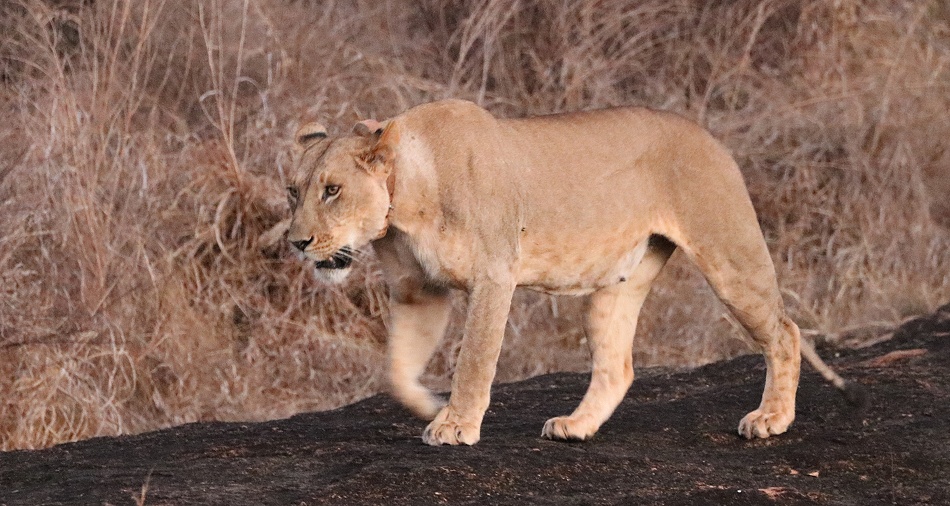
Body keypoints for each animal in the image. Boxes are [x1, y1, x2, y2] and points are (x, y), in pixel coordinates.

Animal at [286, 99, 861, 446]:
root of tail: (709, 136)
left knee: (784, 330)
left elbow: (474, 360)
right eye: (294, 191)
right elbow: (397, 370)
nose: (297, 242)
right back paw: (577, 426)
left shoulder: (494, 276)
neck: (404, 204)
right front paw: (431, 407)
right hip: (614, 287)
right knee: (618, 367)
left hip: (728, 259)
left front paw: (457, 424)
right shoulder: (417, 292)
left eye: (332, 190)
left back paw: (772, 419)